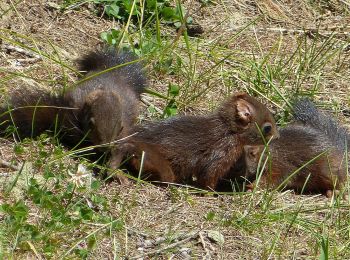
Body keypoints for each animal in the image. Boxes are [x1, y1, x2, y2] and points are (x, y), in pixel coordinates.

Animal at [0, 47, 146, 175]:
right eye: (92, 125)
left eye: (119, 129)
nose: (105, 147)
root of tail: (113, 71)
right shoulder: (72, 111)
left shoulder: (126, 129)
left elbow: (121, 148)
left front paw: (113, 168)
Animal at [114, 93, 278, 189]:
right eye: (267, 128)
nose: (277, 137)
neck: (229, 132)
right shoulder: (218, 156)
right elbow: (208, 178)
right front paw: (213, 194)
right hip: (153, 160)